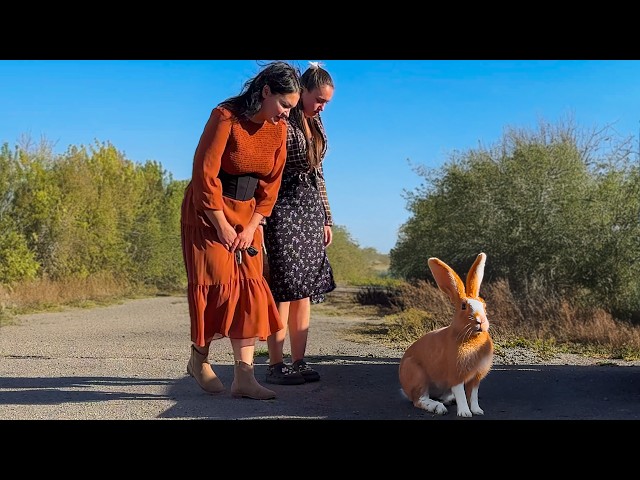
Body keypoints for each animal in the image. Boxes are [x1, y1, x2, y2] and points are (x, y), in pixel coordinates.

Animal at [400, 251, 496, 416]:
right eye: (463, 306)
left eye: (484, 305)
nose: (481, 321)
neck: (470, 336)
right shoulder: (455, 375)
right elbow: (461, 394)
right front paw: (465, 413)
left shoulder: (475, 378)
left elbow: (473, 395)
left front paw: (477, 411)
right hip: (417, 375)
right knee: (419, 400)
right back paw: (437, 407)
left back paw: (448, 400)